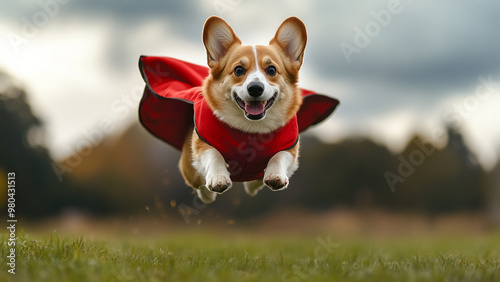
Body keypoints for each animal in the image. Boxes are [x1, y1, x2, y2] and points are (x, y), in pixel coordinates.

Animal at [178, 16, 306, 203]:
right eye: (238, 70)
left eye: (271, 70)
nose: (255, 88)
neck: (251, 128)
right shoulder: (201, 144)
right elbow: (213, 154)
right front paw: (218, 177)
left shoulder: (290, 148)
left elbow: (279, 156)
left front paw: (274, 175)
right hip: (188, 168)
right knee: (198, 182)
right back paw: (207, 195)